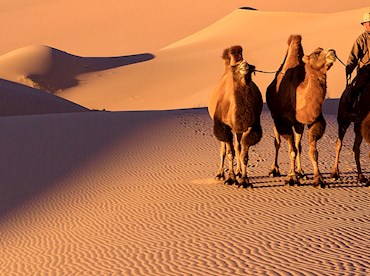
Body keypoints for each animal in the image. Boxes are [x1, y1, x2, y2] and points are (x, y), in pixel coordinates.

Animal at [208, 45, 264, 188]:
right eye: (237, 66)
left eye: (250, 65)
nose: (245, 65)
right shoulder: (223, 126)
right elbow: (229, 153)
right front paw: (230, 178)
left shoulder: (251, 126)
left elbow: (244, 154)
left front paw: (244, 180)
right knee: (223, 148)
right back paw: (220, 174)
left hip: (238, 130)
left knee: (238, 146)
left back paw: (238, 172)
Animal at [266, 35, 338, 188]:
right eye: (316, 53)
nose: (332, 51)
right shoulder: (283, 122)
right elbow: (291, 150)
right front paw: (292, 178)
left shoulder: (314, 120)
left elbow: (313, 151)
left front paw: (319, 180)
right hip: (275, 119)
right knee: (278, 142)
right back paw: (275, 170)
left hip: (298, 125)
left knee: (298, 145)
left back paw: (301, 172)